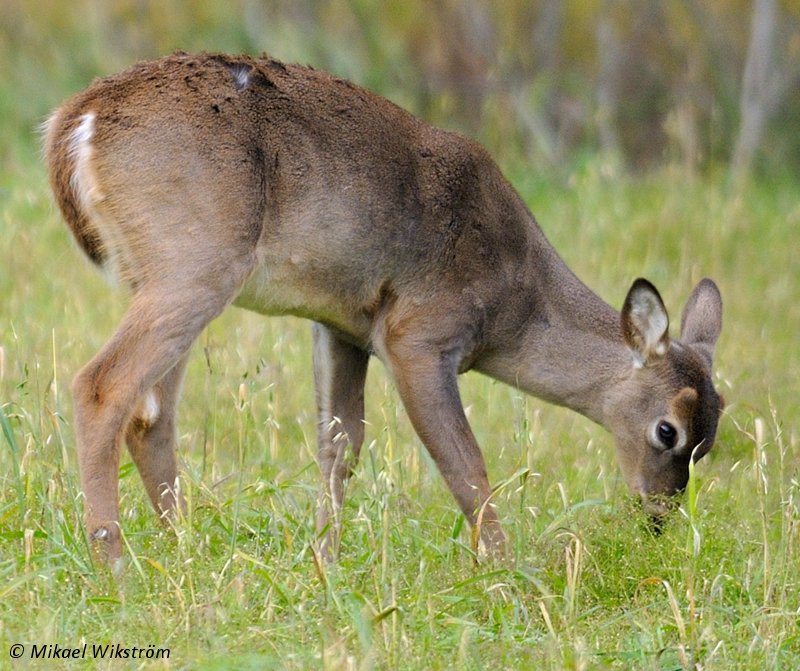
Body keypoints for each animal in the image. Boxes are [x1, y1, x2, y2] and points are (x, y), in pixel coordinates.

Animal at [45, 53, 724, 568]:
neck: (517, 301)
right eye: (669, 430)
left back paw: (186, 550)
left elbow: (340, 446)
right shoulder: (417, 333)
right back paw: (115, 562)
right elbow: (466, 464)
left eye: (709, 442)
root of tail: (77, 121)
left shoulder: (342, 324)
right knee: (102, 386)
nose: (659, 515)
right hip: (195, 261)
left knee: (150, 414)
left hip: (167, 273)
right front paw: (508, 574)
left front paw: (325, 563)